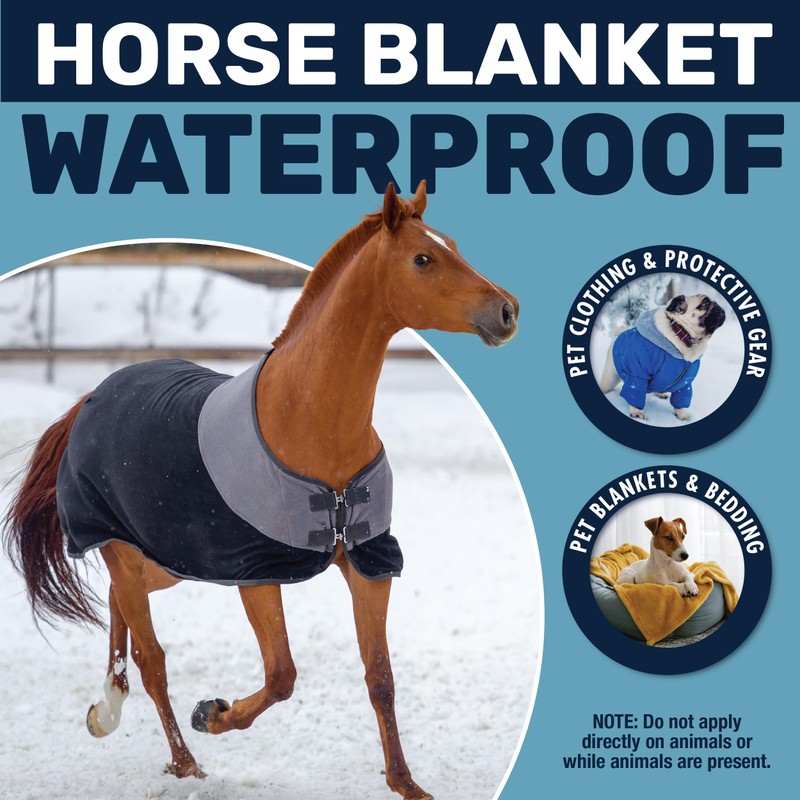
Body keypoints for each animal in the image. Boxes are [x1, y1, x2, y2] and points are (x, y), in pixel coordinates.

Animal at [2, 182, 519, 799]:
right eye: (423, 259)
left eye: (454, 246)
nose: (507, 311)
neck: (307, 422)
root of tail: (91, 398)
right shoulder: (256, 570)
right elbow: (282, 675)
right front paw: (213, 713)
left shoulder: (369, 564)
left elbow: (380, 677)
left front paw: (405, 783)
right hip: (127, 550)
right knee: (152, 659)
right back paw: (184, 761)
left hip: (166, 560)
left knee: (119, 610)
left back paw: (105, 711)